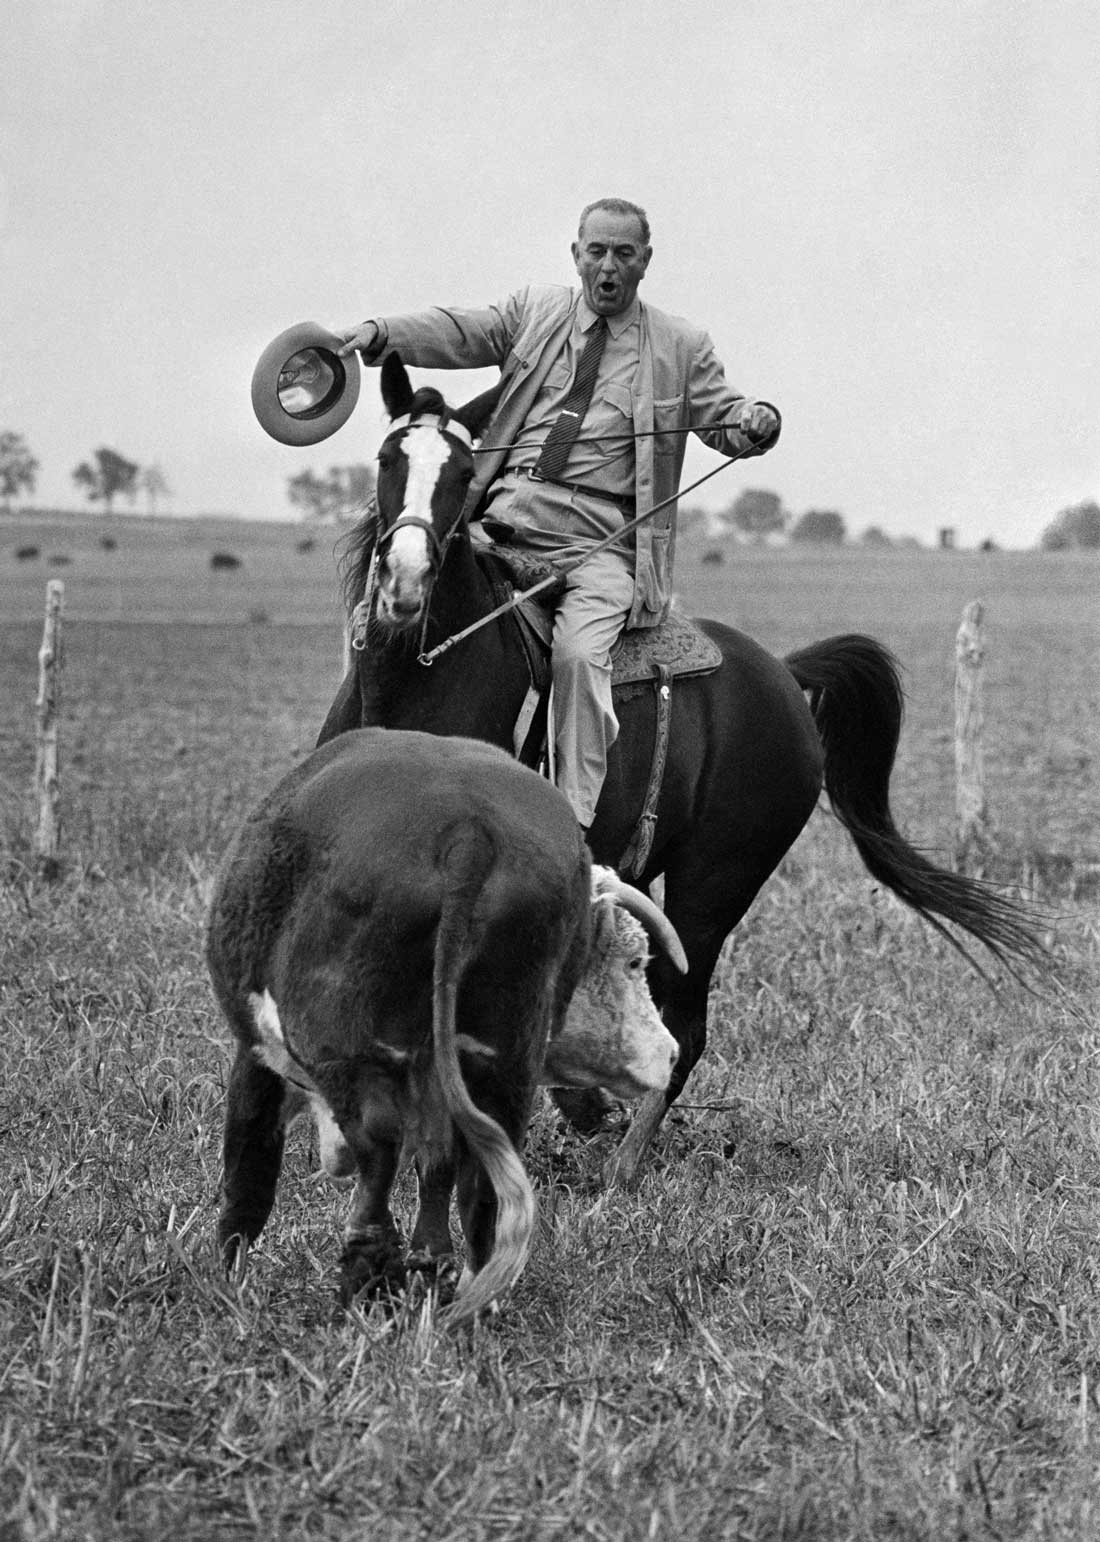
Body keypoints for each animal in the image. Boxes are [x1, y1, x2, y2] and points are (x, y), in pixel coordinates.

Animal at [206, 727, 681, 1319]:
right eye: (635, 962)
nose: (671, 1053)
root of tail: (470, 830)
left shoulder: (258, 1057)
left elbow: (247, 1172)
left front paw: (227, 1282)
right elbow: (437, 1167)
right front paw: (430, 1261)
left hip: (348, 1052)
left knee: (378, 1155)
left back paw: (364, 1285)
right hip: (503, 1060)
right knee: (483, 1187)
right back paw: (466, 1294)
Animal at [314, 354, 1036, 1178]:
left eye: (463, 471)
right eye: (386, 460)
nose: (404, 581)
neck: (424, 679)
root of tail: (783, 673)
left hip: (715, 884)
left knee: (684, 1028)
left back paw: (618, 1162)